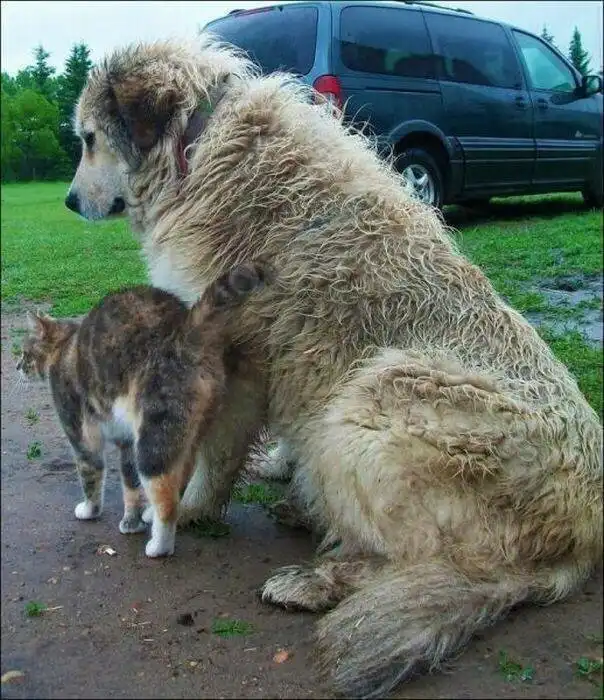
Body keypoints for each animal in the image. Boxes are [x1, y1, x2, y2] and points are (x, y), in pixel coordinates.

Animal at [16, 261, 272, 557]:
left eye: (23, 352)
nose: (17, 367)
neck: (65, 346)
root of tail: (186, 331)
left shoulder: (81, 432)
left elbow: (90, 473)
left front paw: (89, 510)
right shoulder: (127, 440)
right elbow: (130, 486)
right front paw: (132, 522)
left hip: (153, 442)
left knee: (167, 502)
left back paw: (159, 547)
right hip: (185, 435)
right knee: (178, 482)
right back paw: (150, 516)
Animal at [65, 36, 603, 699]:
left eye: (89, 139)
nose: (67, 200)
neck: (199, 142)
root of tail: (581, 538)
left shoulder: (237, 359)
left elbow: (215, 453)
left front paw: (185, 510)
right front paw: (277, 464)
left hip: (372, 402)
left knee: (436, 564)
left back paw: (318, 578)